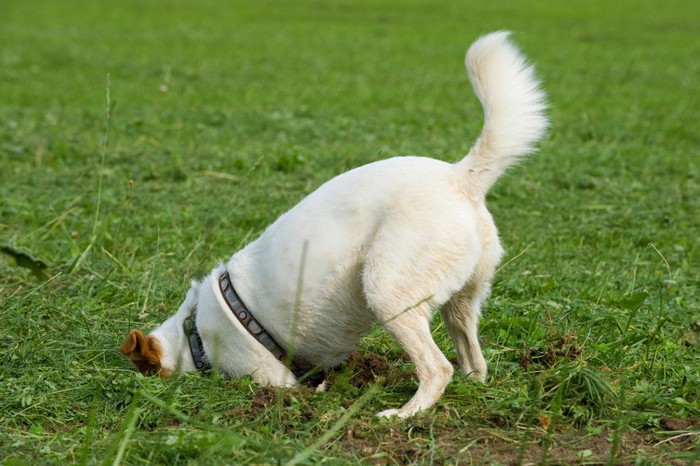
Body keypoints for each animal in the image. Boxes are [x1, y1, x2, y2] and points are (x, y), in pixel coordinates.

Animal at [119, 32, 548, 418]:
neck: (193, 333)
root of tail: (460, 176)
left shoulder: (271, 376)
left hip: (386, 292)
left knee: (438, 369)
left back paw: (403, 414)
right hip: (460, 303)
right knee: (473, 362)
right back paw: (471, 389)